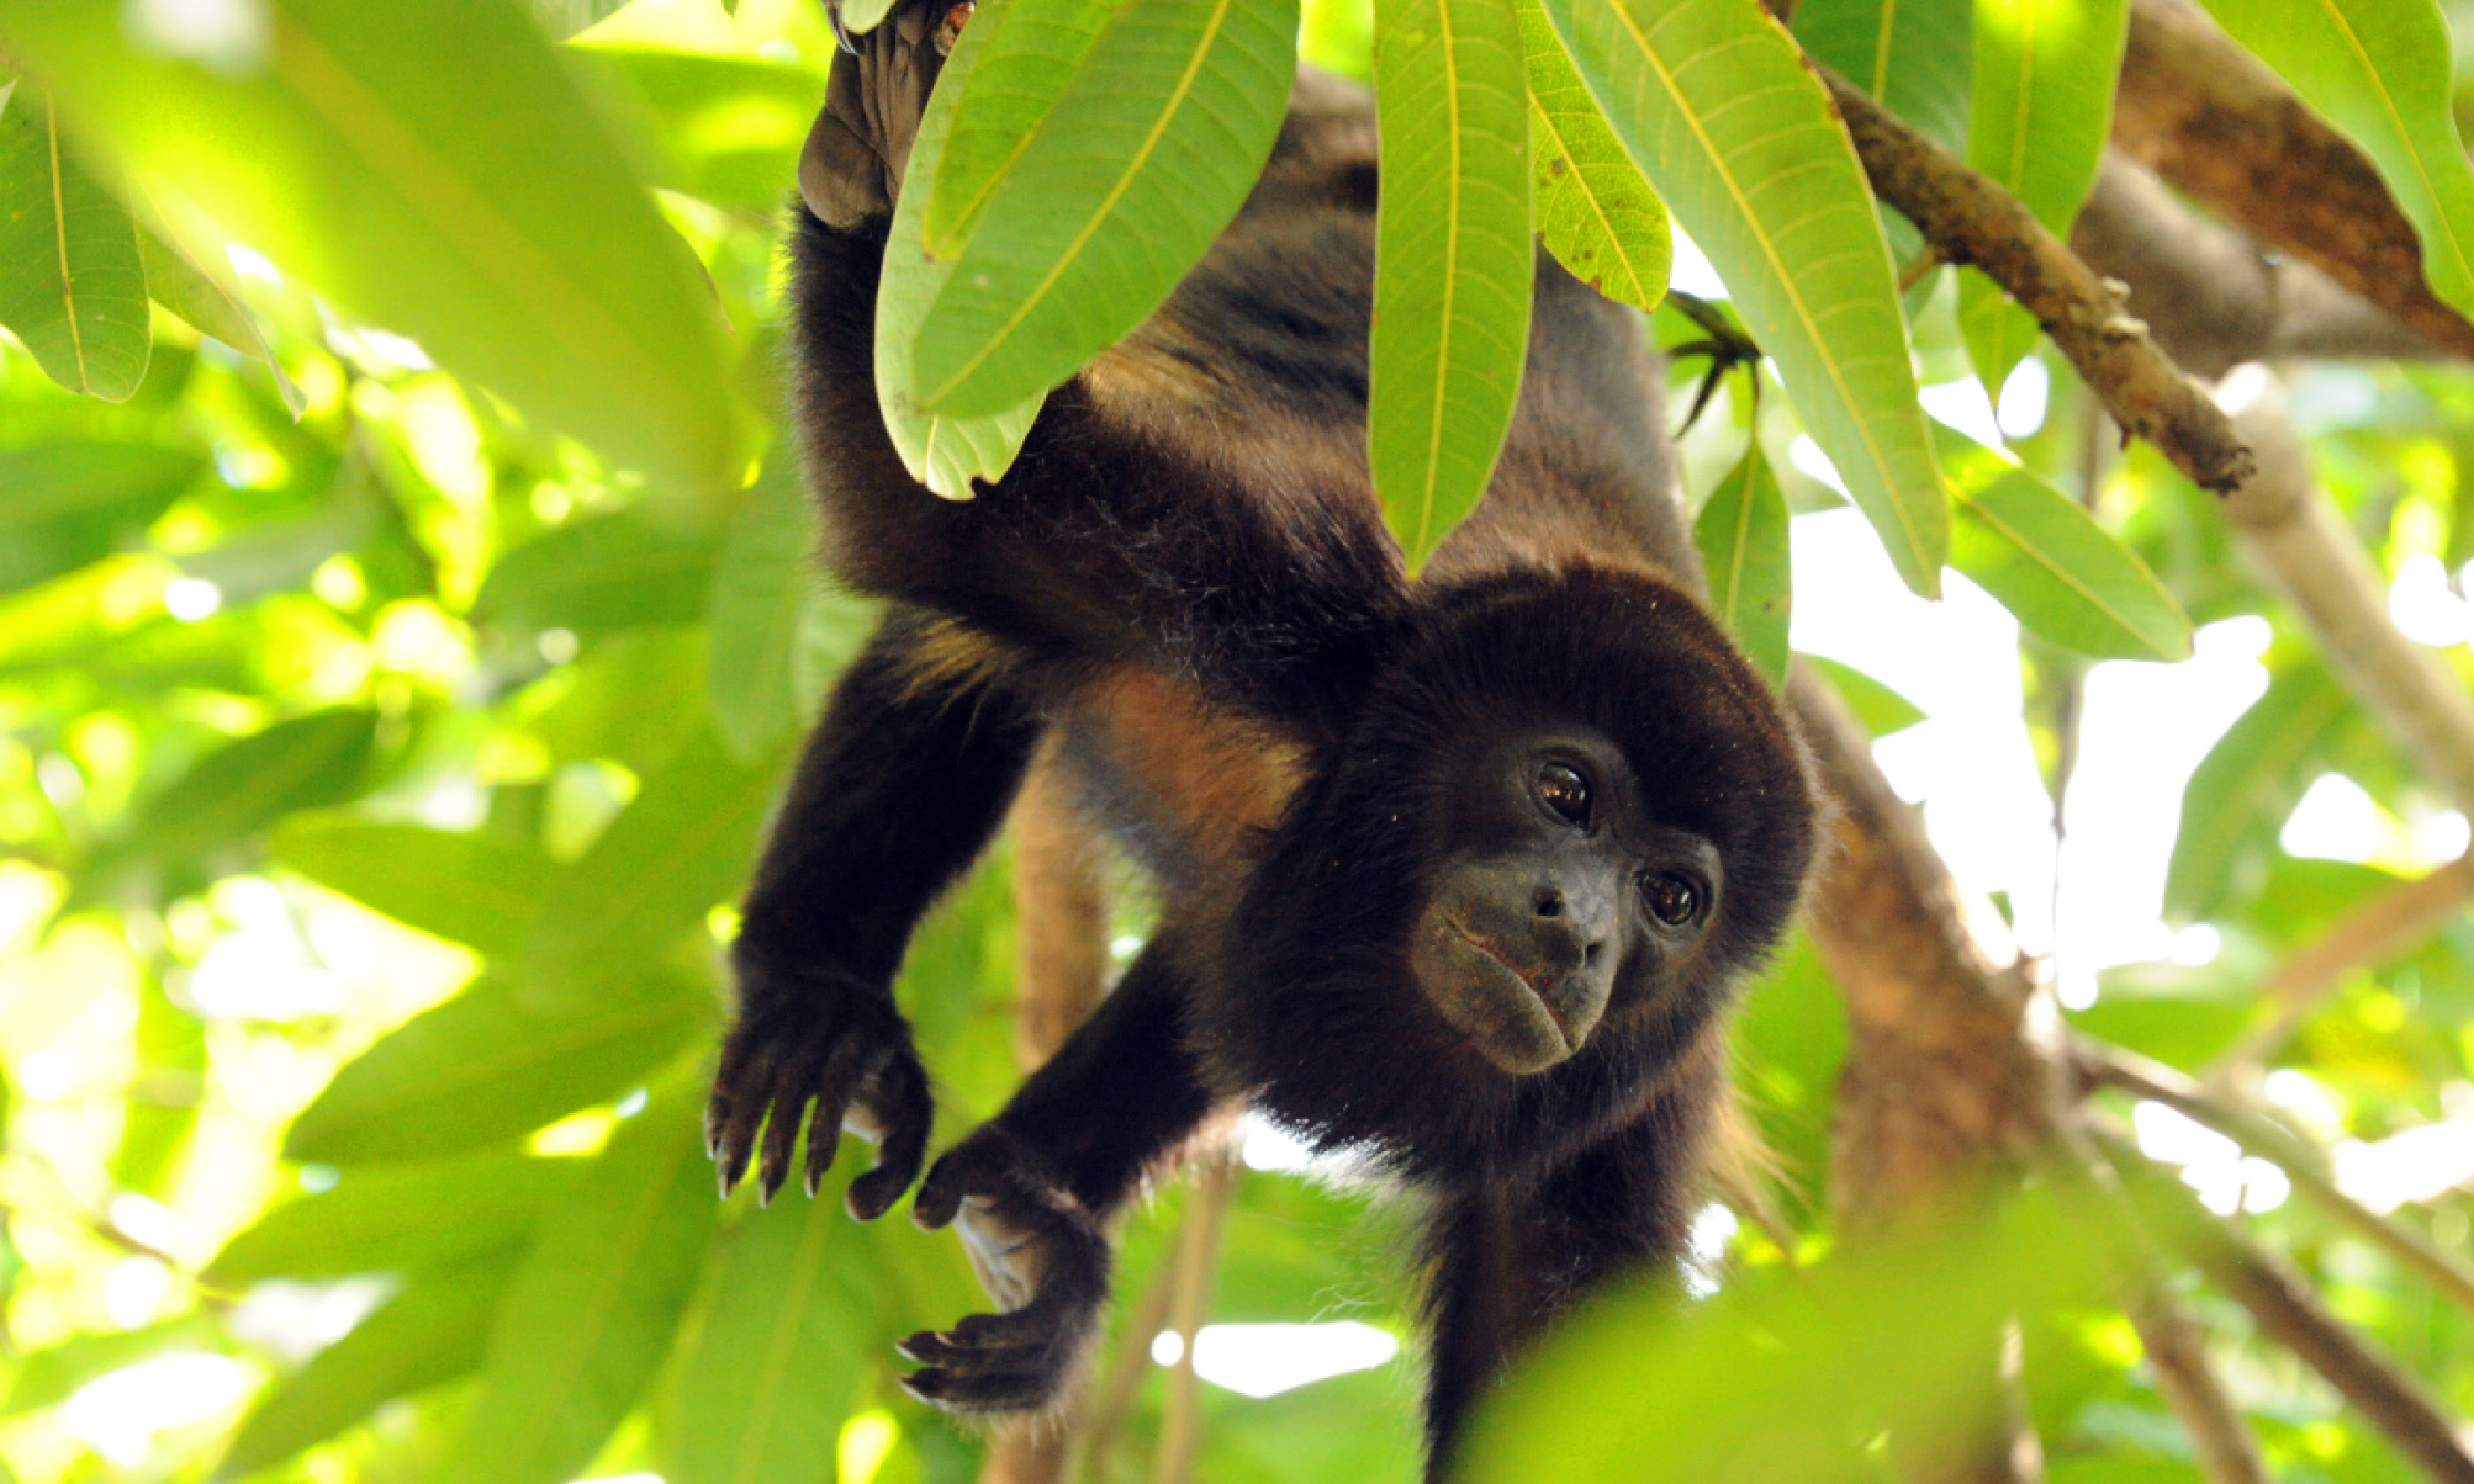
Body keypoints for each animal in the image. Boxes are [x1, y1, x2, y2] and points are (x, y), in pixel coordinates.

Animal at [707, 5, 1831, 1473]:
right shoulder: (1295, 582)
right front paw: (885, 179)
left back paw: (1038, 1205)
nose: (1576, 930)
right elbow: (953, 523)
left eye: (1674, 899)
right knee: (961, 638)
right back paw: (816, 999)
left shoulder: (1635, 1117)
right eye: (1566, 789)